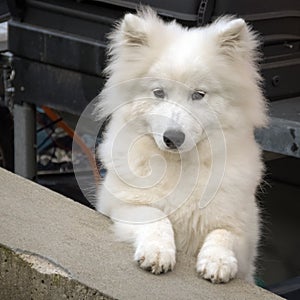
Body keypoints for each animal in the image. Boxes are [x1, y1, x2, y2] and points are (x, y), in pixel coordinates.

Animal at [94, 7, 268, 284]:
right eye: (158, 92)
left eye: (199, 94)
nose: (172, 138)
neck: (180, 165)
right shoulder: (120, 206)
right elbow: (156, 217)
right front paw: (157, 252)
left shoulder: (244, 236)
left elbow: (223, 234)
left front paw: (217, 262)